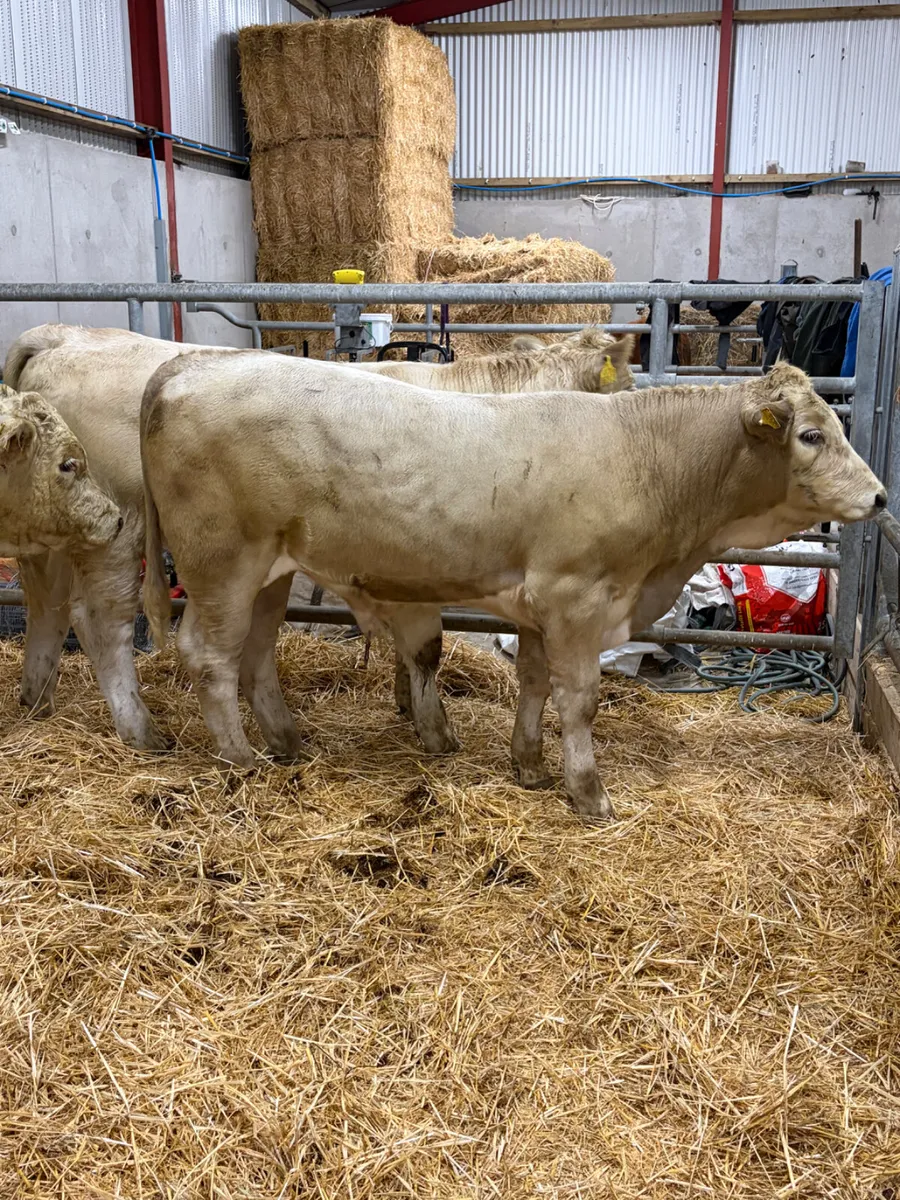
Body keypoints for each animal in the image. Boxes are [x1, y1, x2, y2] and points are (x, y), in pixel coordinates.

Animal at [140, 354, 885, 819]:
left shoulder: (537, 606)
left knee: (256, 654)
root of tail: (194, 364)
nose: (880, 497)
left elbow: (532, 682)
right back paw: (241, 759)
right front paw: (588, 792)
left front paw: (528, 764)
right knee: (211, 657)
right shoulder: (578, 598)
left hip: (271, 571)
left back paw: (286, 742)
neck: (644, 458)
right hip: (221, 564)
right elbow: (579, 701)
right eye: (812, 434)